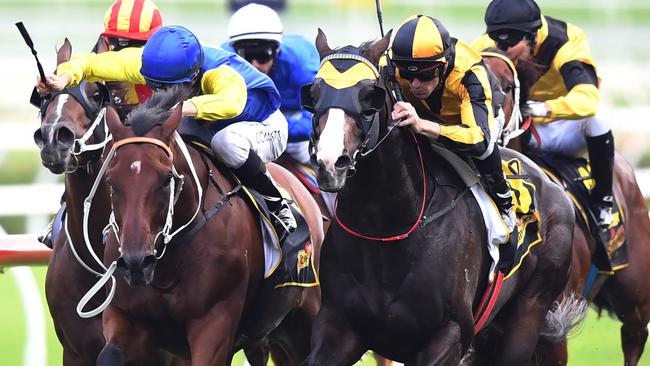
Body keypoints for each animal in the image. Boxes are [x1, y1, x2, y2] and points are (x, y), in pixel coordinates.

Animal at [97, 87, 324, 364]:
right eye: (111, 180)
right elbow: (108, 355)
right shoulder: (127, 318)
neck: (166, 268)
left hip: (304, 317)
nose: (136, 262)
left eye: (166, 178)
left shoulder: (215, 321)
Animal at [298, 30, 572, 366]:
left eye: (368, 96)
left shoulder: (450, 332)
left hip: (529, 311)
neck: (386, 229)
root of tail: (553, 185)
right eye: (314, 94)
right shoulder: (338, 327)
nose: (329, 162)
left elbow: (478, 136)